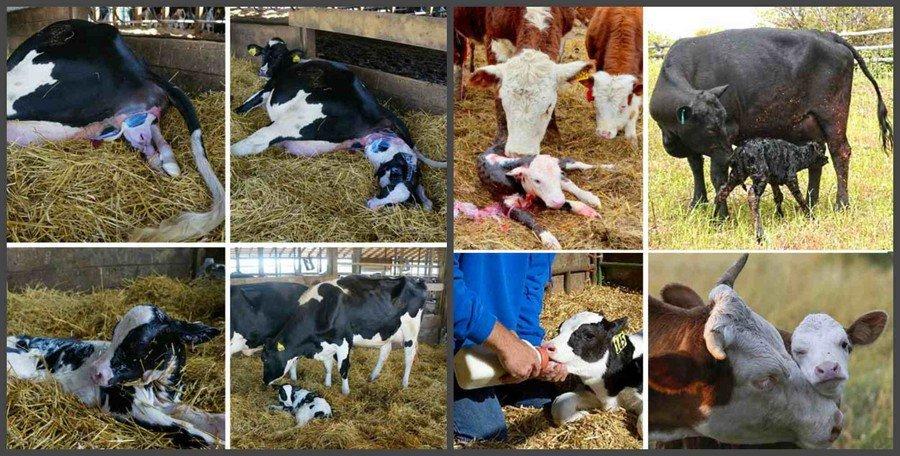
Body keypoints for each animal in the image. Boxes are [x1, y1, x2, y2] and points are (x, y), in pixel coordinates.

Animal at [6, 305, 223, 448]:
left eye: (136, 345)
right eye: (113, 334)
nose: (95, 371)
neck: (158, 390)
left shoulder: (168, 404)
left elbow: (198, 415)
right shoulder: (125, 407)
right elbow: (182, 426)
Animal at [231, 38, 446, 171]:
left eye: (277, 56)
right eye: (263, 53)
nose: (263, 71)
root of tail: (376, 109)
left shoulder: (268, 88)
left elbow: (247, 104)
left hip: (295, 120)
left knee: (255, 141)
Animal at [260, 275, 427, 395]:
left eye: (265, 359)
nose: (264, 382)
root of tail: (415, 280)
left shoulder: (344, 342)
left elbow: (343, 367)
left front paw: (345, 391)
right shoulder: (326, 344)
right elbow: (328, 366)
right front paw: (327, 384)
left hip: (411, 331)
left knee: (409, 357)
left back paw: (404, 383)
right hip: (386, 331)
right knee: (385, 352)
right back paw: (373, 376)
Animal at [456, 7, 593, 156]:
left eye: (548, 107)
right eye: (504, 103)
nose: (520, 154)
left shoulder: (562, 40)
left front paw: (553, 135)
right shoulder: (495, 40)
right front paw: (501, 139)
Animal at [649, 28, 893, 219]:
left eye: (723, 122)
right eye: (710, 128)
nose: (731, 157)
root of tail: (827, 35)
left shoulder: (727, 135)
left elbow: (716, 174)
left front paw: (721, 216)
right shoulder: (693, 140)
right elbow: (695, 167)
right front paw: (697, 204)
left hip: (833, 115)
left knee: (840, 152)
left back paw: (841, 204)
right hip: (810, 123)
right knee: (817, 158)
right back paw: (810, 202)